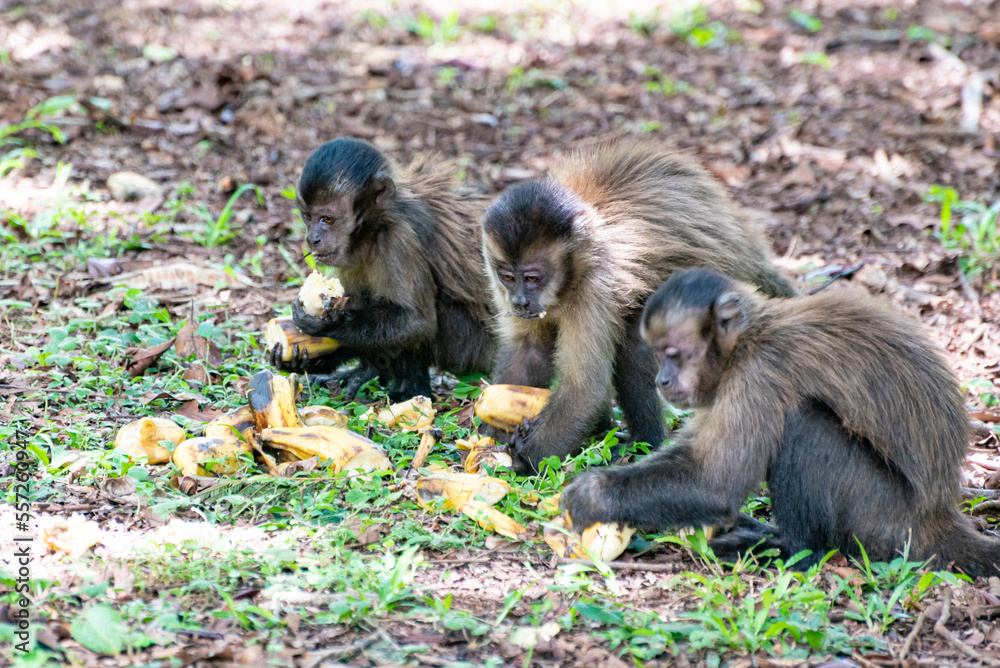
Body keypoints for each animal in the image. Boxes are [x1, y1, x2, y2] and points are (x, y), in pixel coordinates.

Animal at [270, 137, 496, 402]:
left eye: (327, 219)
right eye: (307, 216)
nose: (312, 238)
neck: (374, 228)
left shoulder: (398, 239)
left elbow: (417, 322)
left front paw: (332, 325)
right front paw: (303, 362)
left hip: (471, 348)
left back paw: (411, 391)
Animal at [481, 138, 796, 474]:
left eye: (532, 278)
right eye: (508, 277)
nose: (520, 300)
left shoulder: (596, 285)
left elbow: (584, 390)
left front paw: (522, 460)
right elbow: (528, 353)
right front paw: (489, 438)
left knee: (633, 345)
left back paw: (644, 442)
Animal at [561, 267, 1000, 576]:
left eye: (673, 354)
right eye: (657, 354)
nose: (662, 380)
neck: (748, 339)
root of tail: (936, 514)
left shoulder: (758, 374)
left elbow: (714, 484)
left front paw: (593, 494)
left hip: (885, 516)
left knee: (805, 424)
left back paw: (792, 548)